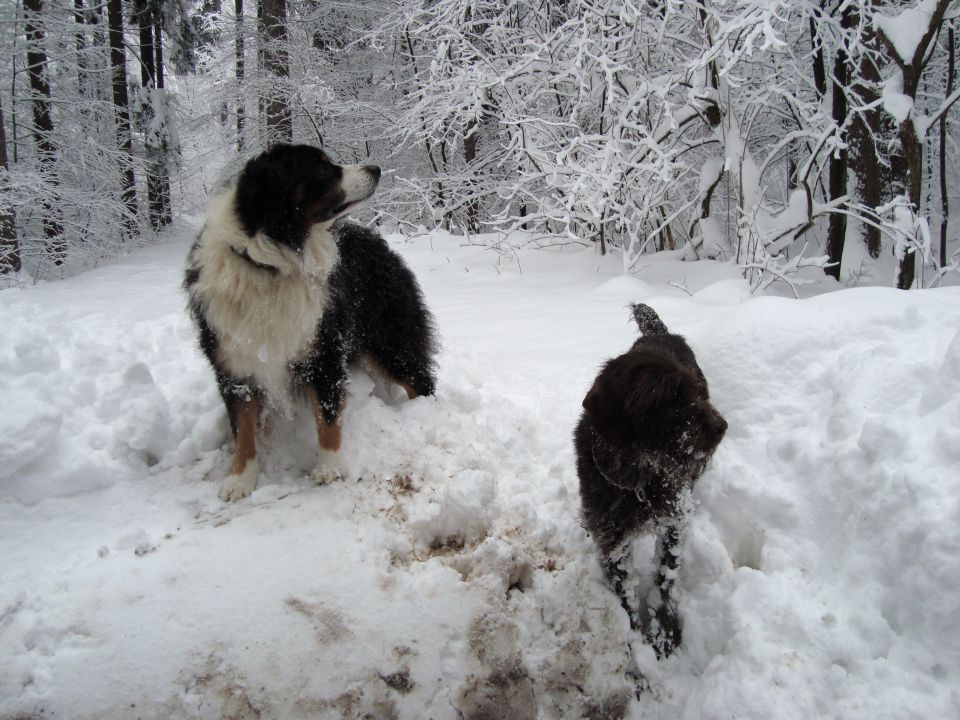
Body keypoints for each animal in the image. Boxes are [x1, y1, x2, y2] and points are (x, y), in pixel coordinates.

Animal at [185, 142, 438, 500]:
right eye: (320, 168)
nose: (375, 168)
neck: (271, 264)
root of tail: (376, 239)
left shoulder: (323, 350)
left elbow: (328, 415)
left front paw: (330, 467)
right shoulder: (233, 364)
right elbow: (242, 428)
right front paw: (240, 479)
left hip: (389, 341)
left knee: (420, 381)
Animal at [572, 304, 724, 660]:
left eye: (695, 391)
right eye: (668, 397)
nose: (722, 427)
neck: (638, 474)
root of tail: (662, 333)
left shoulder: (674, 521)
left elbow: (664, 578)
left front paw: (664, 632)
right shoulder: (611, 539)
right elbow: (624, 593)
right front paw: (634, 643)